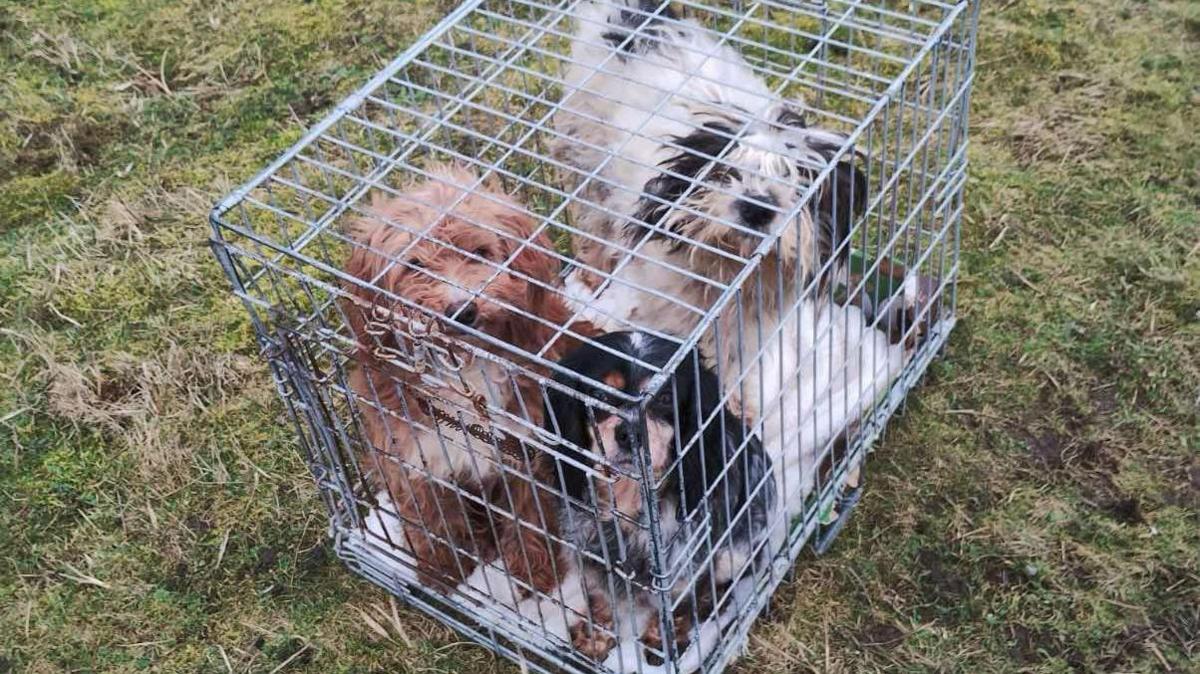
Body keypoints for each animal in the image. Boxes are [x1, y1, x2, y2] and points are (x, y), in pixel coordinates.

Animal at [340, 165, 588, 594]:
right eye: (415, 264)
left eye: (480, 253)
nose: (462, 311)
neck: (463, 368)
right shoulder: (413, 457)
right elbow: (431, 521)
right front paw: (441, 571)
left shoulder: (526, 448)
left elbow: (531, 516)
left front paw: (535, 573)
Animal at [542, 331, 772, 662]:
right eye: (600, 395)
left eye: (664, 398)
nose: (630, 434)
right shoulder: (590, 553)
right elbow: (600, 596)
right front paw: (595, 637)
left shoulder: (693, 559)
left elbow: (681, 604)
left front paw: (662, 643)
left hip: (739, 550)